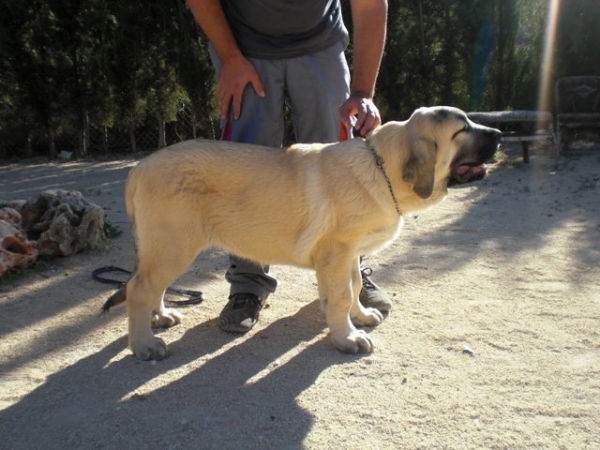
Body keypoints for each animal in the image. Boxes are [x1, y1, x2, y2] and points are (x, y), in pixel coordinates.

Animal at [103, 104, 502, 358]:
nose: (500, 132)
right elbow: (340, 295)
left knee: (149, 285)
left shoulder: (348, 254)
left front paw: (359, 316)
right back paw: (144, 345)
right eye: (462, 130)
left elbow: (352, 287)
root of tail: (138, 168)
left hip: (166, 247)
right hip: (174, 244)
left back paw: (160, 317)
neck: (382, 168)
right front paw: (347, 337)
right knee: (139, 288)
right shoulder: (336, 253)